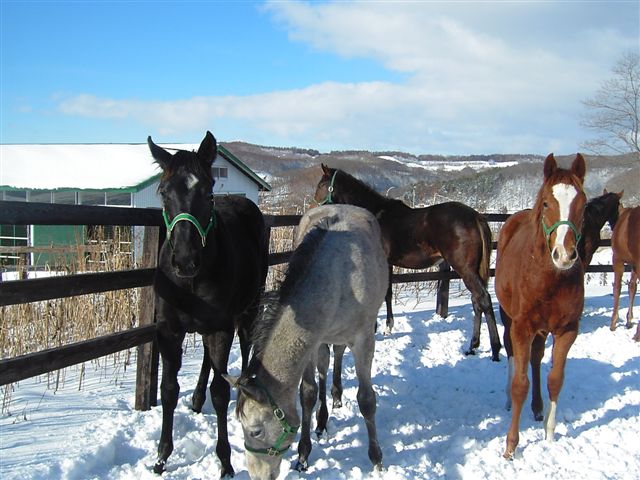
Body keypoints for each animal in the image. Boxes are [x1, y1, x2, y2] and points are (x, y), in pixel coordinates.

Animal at [148, 131, 269, 477]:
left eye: (208, 193)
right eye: (164, 193)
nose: (185, 260)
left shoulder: (220, 328)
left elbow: (220, 391)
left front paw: (225, 461)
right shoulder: (169, 331)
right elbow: (168, 389)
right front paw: (162, 457)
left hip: (247, 309)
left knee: (245, 346)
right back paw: (197, 397)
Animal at [225, 204, 388, 480]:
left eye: (255, 430)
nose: (257, 475)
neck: (338, 279)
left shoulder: (364, 339)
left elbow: (366, 400)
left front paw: (376, 459)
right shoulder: (311, 342)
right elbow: (308, 394)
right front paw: (302, 455)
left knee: (338, 355)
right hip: (324, 342)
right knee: (325, 365)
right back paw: (322, 420)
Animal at [313, 164, 501, 361]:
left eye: (321, 185)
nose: (313, 207)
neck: (375, 215)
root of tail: (475, 217)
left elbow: (384, 294)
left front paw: (381, 327)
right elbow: (387, 294)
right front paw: (386, 327)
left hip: (465, 269)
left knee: (483, 299)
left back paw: (495, 350)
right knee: (476, 301)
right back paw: (473, 346)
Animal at [495, 153, 587, 459]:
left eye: (583, 204)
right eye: (547, 203)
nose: (564, 254)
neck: (549, 278)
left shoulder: (567, 330)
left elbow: (555, 379)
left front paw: (549, 433)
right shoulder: (522, 327)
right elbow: (519, 384)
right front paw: (511, 446)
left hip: (543, 329)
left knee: (535, 359)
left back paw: (536, 409)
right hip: (508, 319)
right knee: (513, 355)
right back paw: (509, 401)